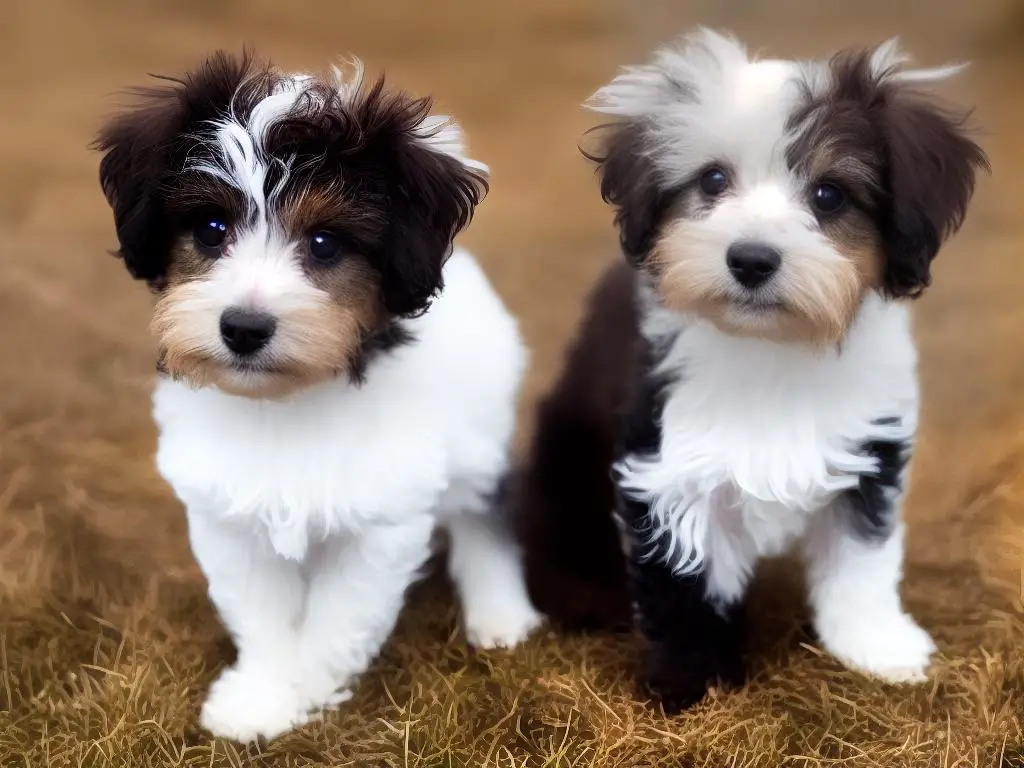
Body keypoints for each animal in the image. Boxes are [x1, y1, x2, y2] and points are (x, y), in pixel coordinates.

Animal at [96, 51, 540, 741]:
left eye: (326, 243)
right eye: (212, 229)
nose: (243, 328)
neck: (288, 402)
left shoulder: (380, 522)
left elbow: (340, 614)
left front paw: (308, 689)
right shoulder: (228, 514)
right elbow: (263, 610)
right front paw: (261, 696)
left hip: (478, 432)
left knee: (481, 507)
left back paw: (499, 611)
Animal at [516, 30, 987, 716]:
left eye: (829, 194)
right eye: (712, 180)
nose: (752, 259)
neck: (773, 349)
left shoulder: (869, 446)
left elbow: (861, 556)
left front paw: (874, 645)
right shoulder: (669, 466)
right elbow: (684, 583)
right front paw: (692, 684)